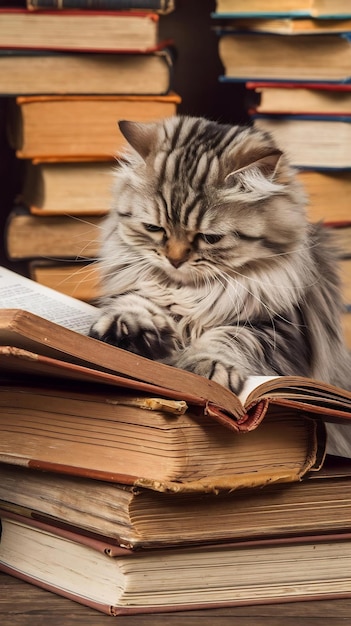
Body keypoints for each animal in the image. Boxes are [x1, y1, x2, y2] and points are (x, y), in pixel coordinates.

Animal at [89, 114, 350, 448]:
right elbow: (136, 303)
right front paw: (124, 328)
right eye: (154, 228)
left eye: (209, 238)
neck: (191, 291)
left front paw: (207, 368)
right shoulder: (141, 289)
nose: (174, 260)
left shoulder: (279, 328)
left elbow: (227, 338)